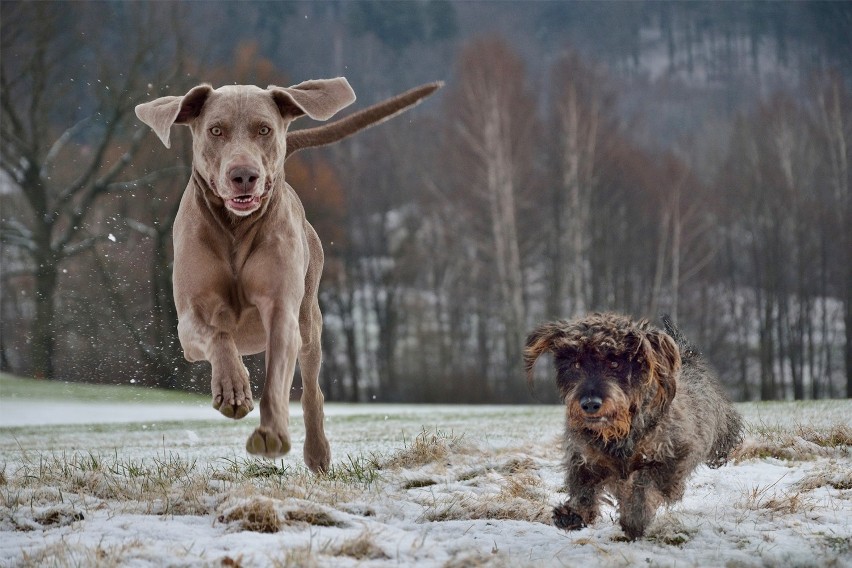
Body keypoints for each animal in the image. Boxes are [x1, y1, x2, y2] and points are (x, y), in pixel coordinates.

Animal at [524, 312, 744, 540]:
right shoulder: (584, 457)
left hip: (721, 422)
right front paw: (574, 513)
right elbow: (584, 486)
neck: (620, 430)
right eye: (576, 364)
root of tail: (686, 354)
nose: (590, 404)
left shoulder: (672, 456)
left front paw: (635, 517)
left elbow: (645, 484)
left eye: (614, 363)